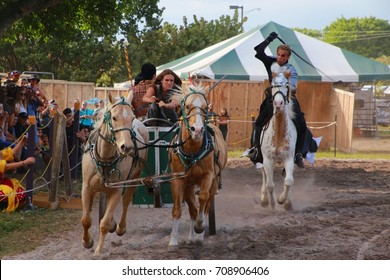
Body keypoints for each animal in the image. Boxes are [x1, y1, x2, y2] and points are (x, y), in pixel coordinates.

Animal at [81, 92, 149, 256]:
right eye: (114, 117)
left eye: (131, 117)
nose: (127, 147)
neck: (104, 158)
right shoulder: (86, 188)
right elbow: (86, 220)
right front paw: (87, 241)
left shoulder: (117, 190)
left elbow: (104, 223)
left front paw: (99, 251)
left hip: (133, 178)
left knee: (126, 202)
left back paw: (120, 227)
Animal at [168, 84, 229, 250]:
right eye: (187, 106)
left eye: (204, 107)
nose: (198, 130)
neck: (192, 151)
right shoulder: (178, 180)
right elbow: (177, 209)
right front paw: (173, 240)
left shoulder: (207, 177)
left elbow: (202, 198)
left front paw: (200, 228)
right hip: (189, 186)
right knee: (193, 210)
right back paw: (191, 237)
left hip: (214, 182)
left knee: (206, 205)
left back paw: (199, 236)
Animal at [260, 72, 298, 210]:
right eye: (273, 85)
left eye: (286, 85)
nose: (278, 102)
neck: (279, 134)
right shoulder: (267, 160)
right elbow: (270, 184)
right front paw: (272, 205)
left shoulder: (289, 159)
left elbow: (289, 181)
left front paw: (283, 200)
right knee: (265, 177)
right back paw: (264, 199)